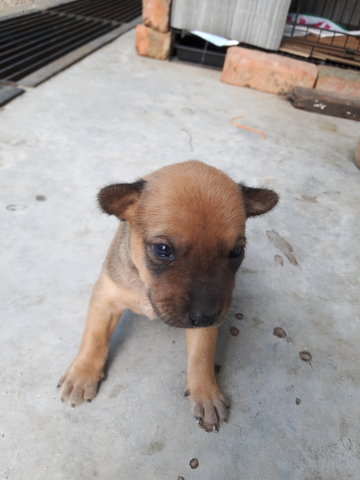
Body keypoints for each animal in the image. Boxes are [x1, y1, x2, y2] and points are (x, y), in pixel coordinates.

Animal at [59, 160, 278, 432]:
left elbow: (202, 355)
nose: (205, 317)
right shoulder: (105, 297)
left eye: (236, 252)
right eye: (162, 249)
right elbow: (94, 337)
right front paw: (82, 373)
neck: (146, 286)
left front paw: (206, 393)